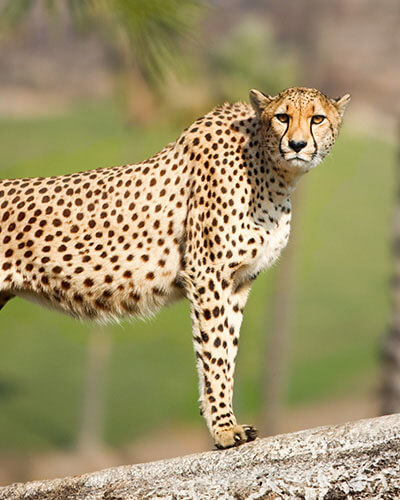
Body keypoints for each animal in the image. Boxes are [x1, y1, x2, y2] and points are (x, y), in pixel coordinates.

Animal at [0, 87, 350, 450]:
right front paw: (225, 430)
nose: (296, 145)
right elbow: (215, 353)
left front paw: (222, 422)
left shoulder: (238, 282)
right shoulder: (207, 274)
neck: (271, 171)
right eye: (282, 117)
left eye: (317, 118)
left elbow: (227, 353)